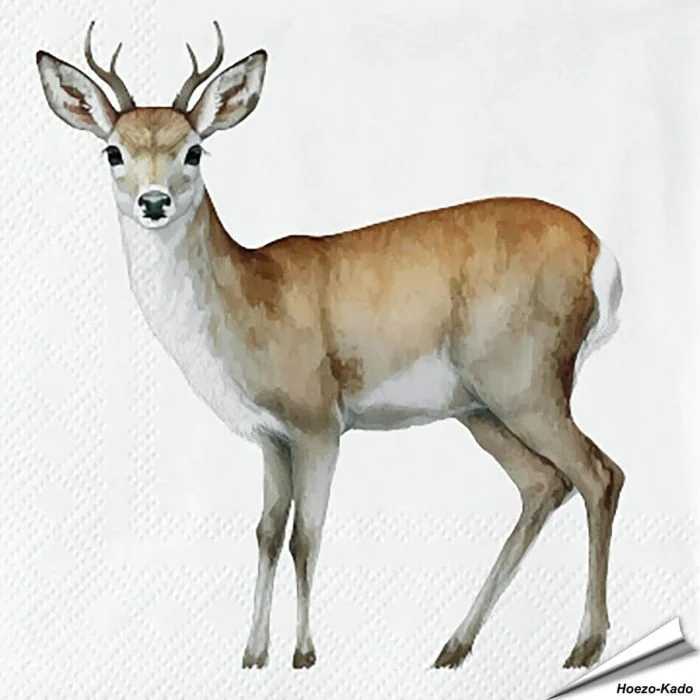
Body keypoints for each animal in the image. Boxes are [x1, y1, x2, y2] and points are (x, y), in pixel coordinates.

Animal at [36, 21, 625, 671]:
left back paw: (585, 645)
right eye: (113, 150)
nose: (155, 202)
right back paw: (454, 646)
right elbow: (267, 533)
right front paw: (253, 654)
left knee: (600, 474)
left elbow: (305, 537)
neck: (249, 297)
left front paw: (303, 654)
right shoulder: (270, 436)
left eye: (194, 149)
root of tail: (602, 255)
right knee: (543, 485)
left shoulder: (319, 422)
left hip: (527, 383)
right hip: (481, 408)